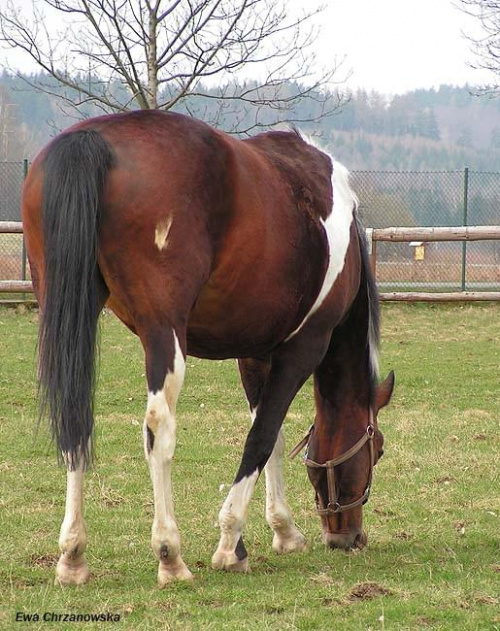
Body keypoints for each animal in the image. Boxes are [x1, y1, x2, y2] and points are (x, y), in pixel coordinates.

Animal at [21, 111, 392, 592]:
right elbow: (261, 437)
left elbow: (271, 435)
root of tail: (92, 138)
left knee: (75, 422)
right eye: (377, 449)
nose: (349, 536)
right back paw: (170, 555)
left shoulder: (255, 353)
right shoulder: (302, 348)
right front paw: (232, 544)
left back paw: (72, 556)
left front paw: (284, 531)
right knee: (158, 428)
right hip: (164, 335)